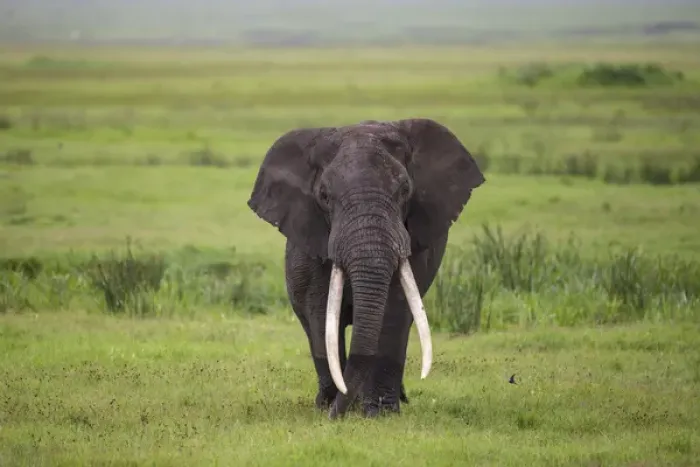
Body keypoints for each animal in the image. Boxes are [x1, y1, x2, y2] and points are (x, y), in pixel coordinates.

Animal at [247, 118, 485, 420]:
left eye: (405, 190)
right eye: (324, 196)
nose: (335, 416)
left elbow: (395, 309)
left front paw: (379, 413)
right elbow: (321, 310)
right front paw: (330, 407)